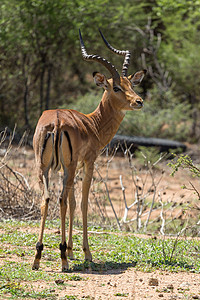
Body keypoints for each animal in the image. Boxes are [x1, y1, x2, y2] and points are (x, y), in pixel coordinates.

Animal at [32, 30, 146, 272]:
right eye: (116, 87)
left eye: (131, 84)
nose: (139, 101)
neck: (92, 124)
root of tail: (57, 122)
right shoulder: (88, 163)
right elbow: (83, 203)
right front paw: (85, 253)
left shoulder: (68, 168)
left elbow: (74, 203)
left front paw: (71, 250)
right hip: (67, 167)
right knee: (61, 200)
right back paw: (63, 260)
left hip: (44, 167)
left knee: (47, 198)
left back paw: (38, 256)